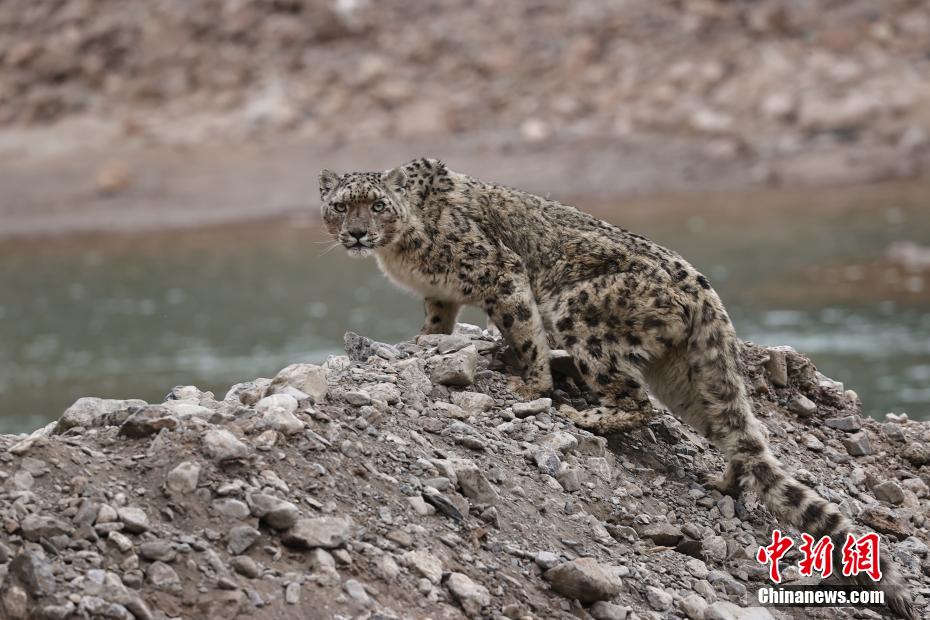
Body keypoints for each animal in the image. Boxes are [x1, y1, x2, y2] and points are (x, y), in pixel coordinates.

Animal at [319, 157, 914, 619]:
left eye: (377, 206)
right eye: (340, 206)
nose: (356, 233)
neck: (401, 251)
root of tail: (706, 292)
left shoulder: (500, 274)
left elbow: (522, 330)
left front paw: (528, 384)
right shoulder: (440, 297)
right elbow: (435, 326)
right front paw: (421, 343)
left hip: (580, 316)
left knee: (636, 403)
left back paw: (583, 416)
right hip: (685, 380)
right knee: (734, 433)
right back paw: (723, 479)